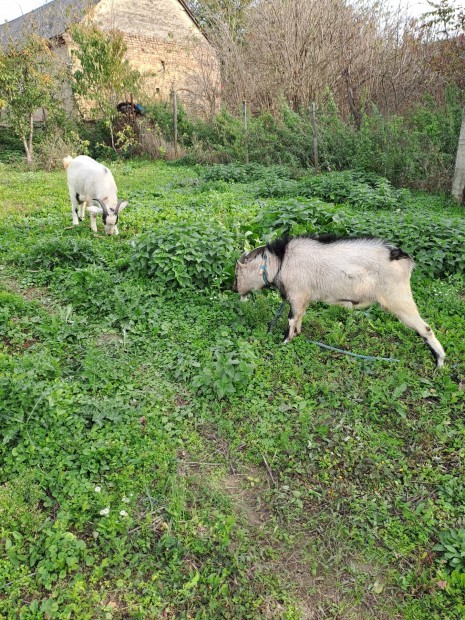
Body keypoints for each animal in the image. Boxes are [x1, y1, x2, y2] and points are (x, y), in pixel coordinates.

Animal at [234, 235, 444, 366]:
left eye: (237, 272)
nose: (233, 288)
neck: (282, 259)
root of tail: (402, 257)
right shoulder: (303, 298)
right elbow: (300, 317)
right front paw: (297, 335)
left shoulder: (296, 294)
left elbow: (291, 319)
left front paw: (284, 341)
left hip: (398, 299)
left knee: (425, 328)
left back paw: (440, 363)